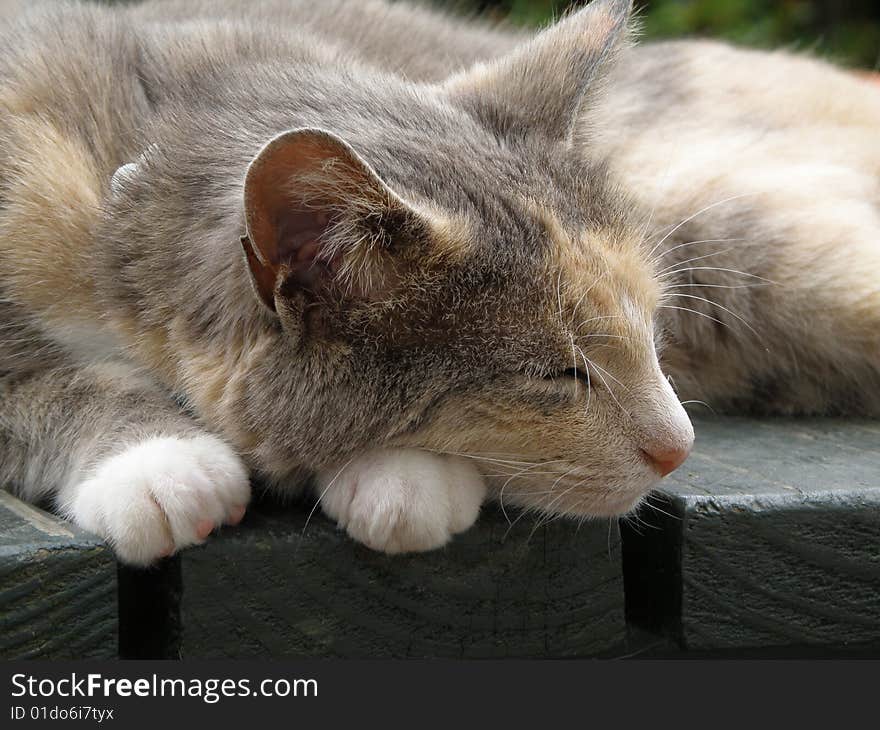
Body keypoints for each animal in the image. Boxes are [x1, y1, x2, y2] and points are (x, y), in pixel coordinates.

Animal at [0, 0, 876, 564]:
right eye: (556, 375)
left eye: (652, 336)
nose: (681, 449)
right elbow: (36, 374)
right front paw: (159, 464)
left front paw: (404, 480)